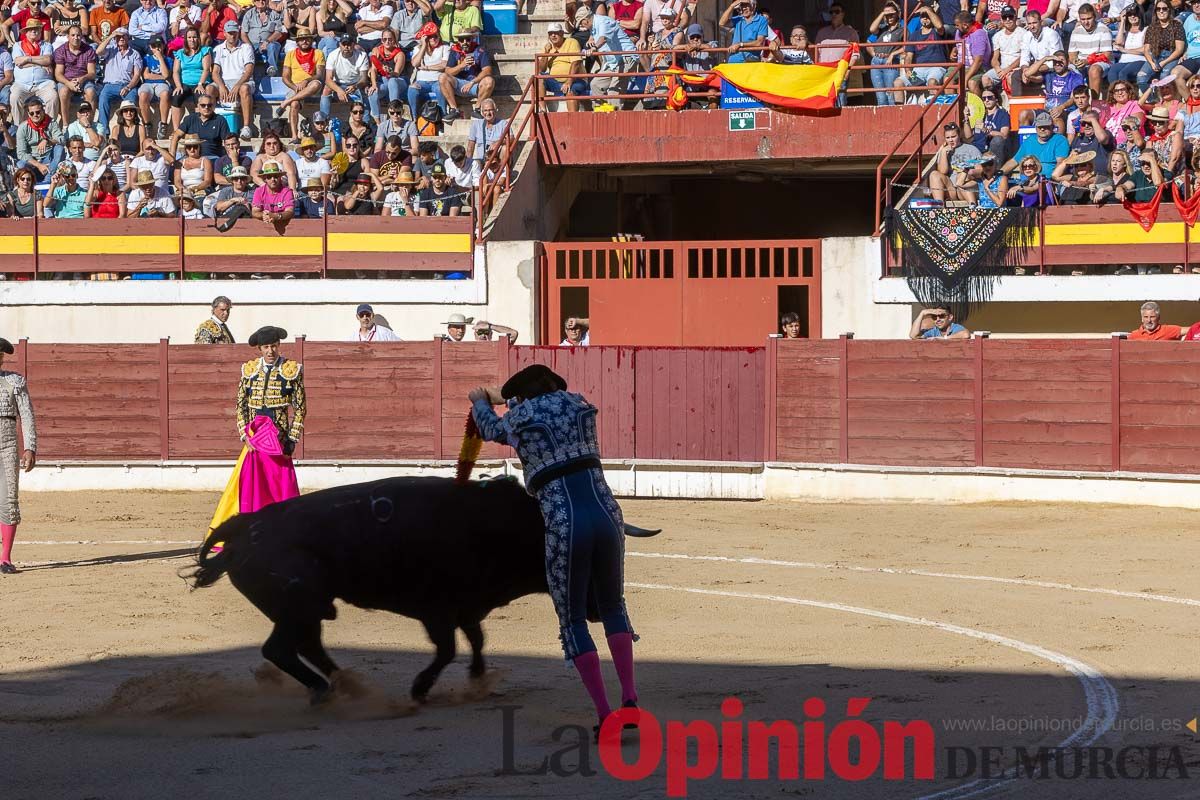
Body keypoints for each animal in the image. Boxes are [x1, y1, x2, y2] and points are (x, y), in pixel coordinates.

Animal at [189, 474, 657, 700]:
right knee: (281, 649)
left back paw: (346, 685)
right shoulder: (438, 609)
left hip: (308, 609)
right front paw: (421, 688)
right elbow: (448, 648)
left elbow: (477, 640)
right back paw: (326, 690)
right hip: (298, 606)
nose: (600, 608)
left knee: (306, 647)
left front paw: (478, 679)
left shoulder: (467, 607)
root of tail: (243, 526)